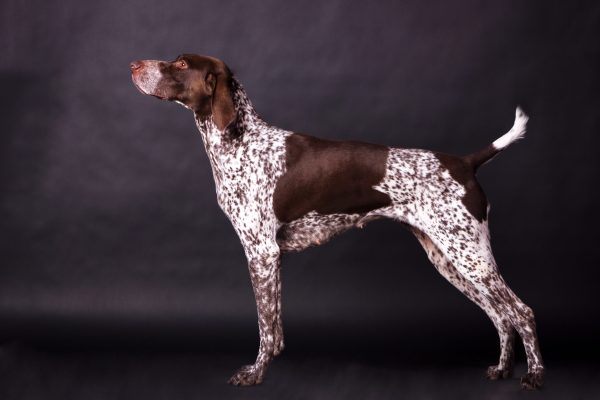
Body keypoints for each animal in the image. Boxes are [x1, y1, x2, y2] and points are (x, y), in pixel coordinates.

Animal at [130, 53, 544, 388]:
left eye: (182, 63)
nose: (134, 65)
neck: (240, 141)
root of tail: (465, 162)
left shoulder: (261, 253)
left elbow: (265, 327)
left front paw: (255, 374)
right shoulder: (272, 258)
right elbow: (276, 324)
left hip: (470, 256)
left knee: (520, 311)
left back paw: (534, 376)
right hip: (449, 258)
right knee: (499, 315)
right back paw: (502, 369)